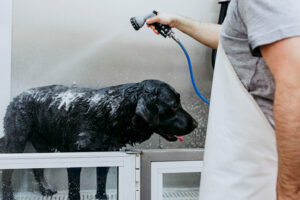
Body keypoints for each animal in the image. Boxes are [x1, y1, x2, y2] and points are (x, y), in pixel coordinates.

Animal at [1, 79, 198, 200]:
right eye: (174, 105)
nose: (196, 123)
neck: (112, 112)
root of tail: (17, 97)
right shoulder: (76, 154)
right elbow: (74, 187)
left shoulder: (107, 152)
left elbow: (101, 178)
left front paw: (101, 196)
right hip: (16, 141)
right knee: (8, 172)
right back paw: (8, 194)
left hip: (44, 145)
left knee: (38, 168)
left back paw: (45, 189)